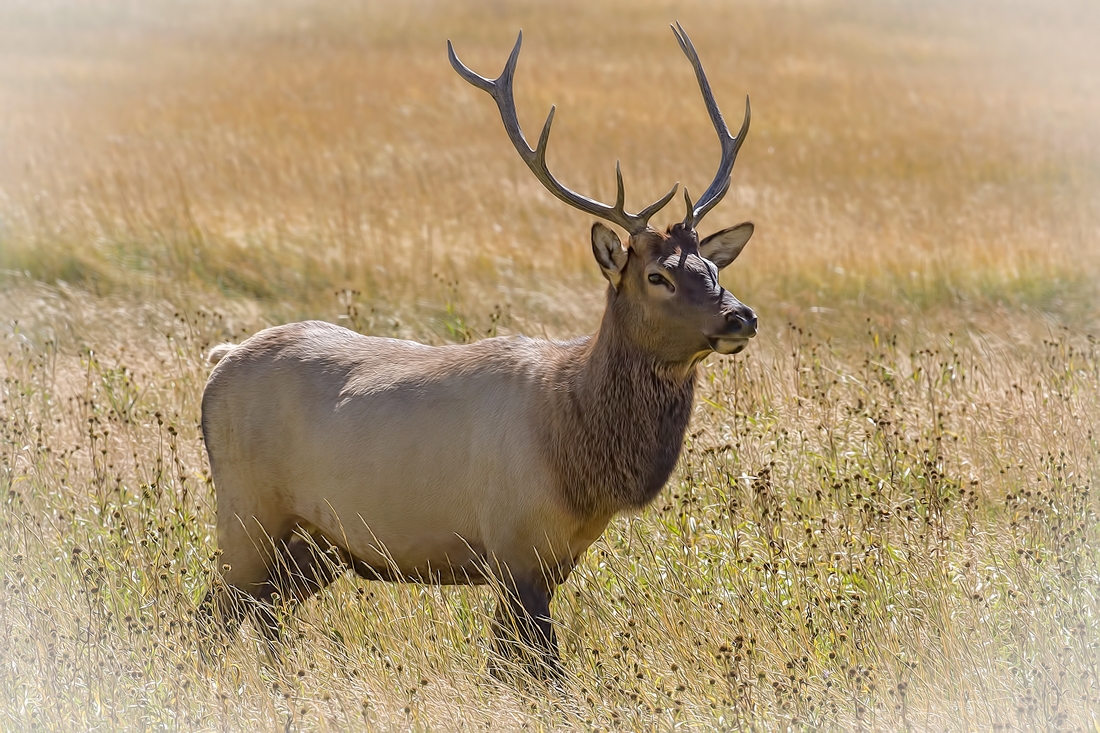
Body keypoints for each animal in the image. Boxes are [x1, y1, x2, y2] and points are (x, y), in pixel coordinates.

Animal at [198, 22, 756, 673]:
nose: (740, 316)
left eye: (709, 267)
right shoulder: (514, 543)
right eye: (657, 276)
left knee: (258, 614)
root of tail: (220, 360)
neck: (577, 450)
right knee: (208, 617)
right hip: (246, 507)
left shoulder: (556, 556)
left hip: (316, 542)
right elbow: (533, 671)